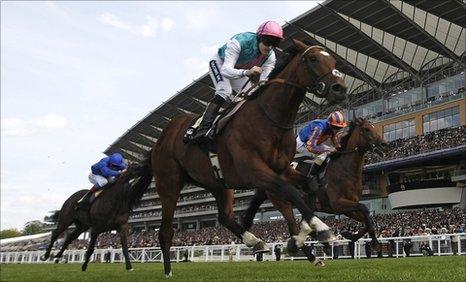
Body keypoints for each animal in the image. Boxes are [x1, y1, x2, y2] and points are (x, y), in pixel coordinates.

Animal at [149, 39, 346, 278]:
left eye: (333, 60)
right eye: (313, 59)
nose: (340, 89)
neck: (269, 118)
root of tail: (163, 135)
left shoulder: (282, 170)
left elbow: (308, 185)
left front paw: (303, 234)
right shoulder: (254, 171)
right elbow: (290, 191)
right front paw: (320, 228)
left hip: (218, 182)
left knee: (224, 217)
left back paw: (256, 241)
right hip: (169, 184)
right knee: (165, 230)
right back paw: (168, 270)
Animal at [240, 117, 386, 256]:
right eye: (367, 129)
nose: (384, 144)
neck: (344, 170)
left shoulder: (347, 209)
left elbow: (367, 219)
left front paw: (350, 235)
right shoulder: (338, 204)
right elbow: (365, 208)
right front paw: (374, 243)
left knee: (302, 225)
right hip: (283, 203)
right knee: (294, 227)